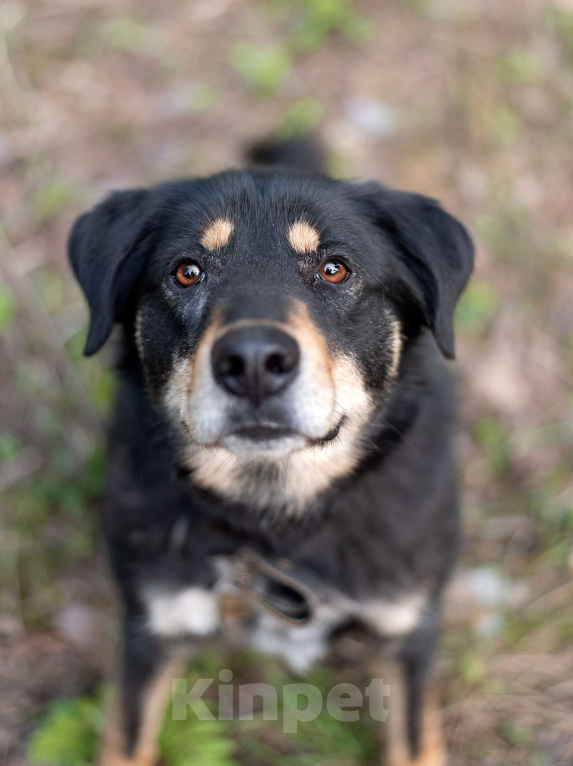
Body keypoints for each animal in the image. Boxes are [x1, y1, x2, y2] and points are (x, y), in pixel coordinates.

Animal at [69, 140, 474, 766]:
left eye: (335, 268)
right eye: (187, 272)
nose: (255, 361)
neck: (273, 520)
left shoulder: (407, 628)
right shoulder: (152, 624)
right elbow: (127, 742)